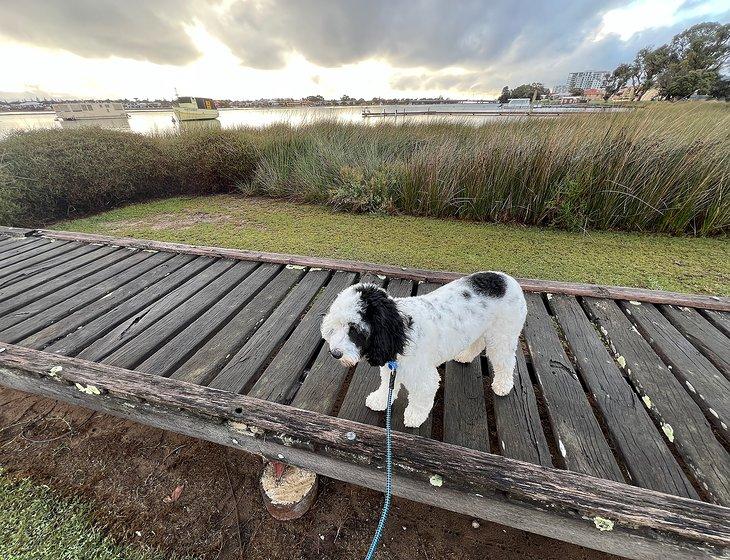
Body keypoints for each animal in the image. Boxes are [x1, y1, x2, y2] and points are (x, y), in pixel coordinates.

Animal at [322, 274, 528, 426]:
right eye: (336, 325)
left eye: (355, 329)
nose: (335, 353)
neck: (401, 332)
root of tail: (508, 279)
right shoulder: (392, 366)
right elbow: (387, 384)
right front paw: (380, 400)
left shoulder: (424, 377)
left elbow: (421, 398)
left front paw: (414, 416)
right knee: (477, 344)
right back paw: (464, 356)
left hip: (502, 336)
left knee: (505, 361)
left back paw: (502, 385)